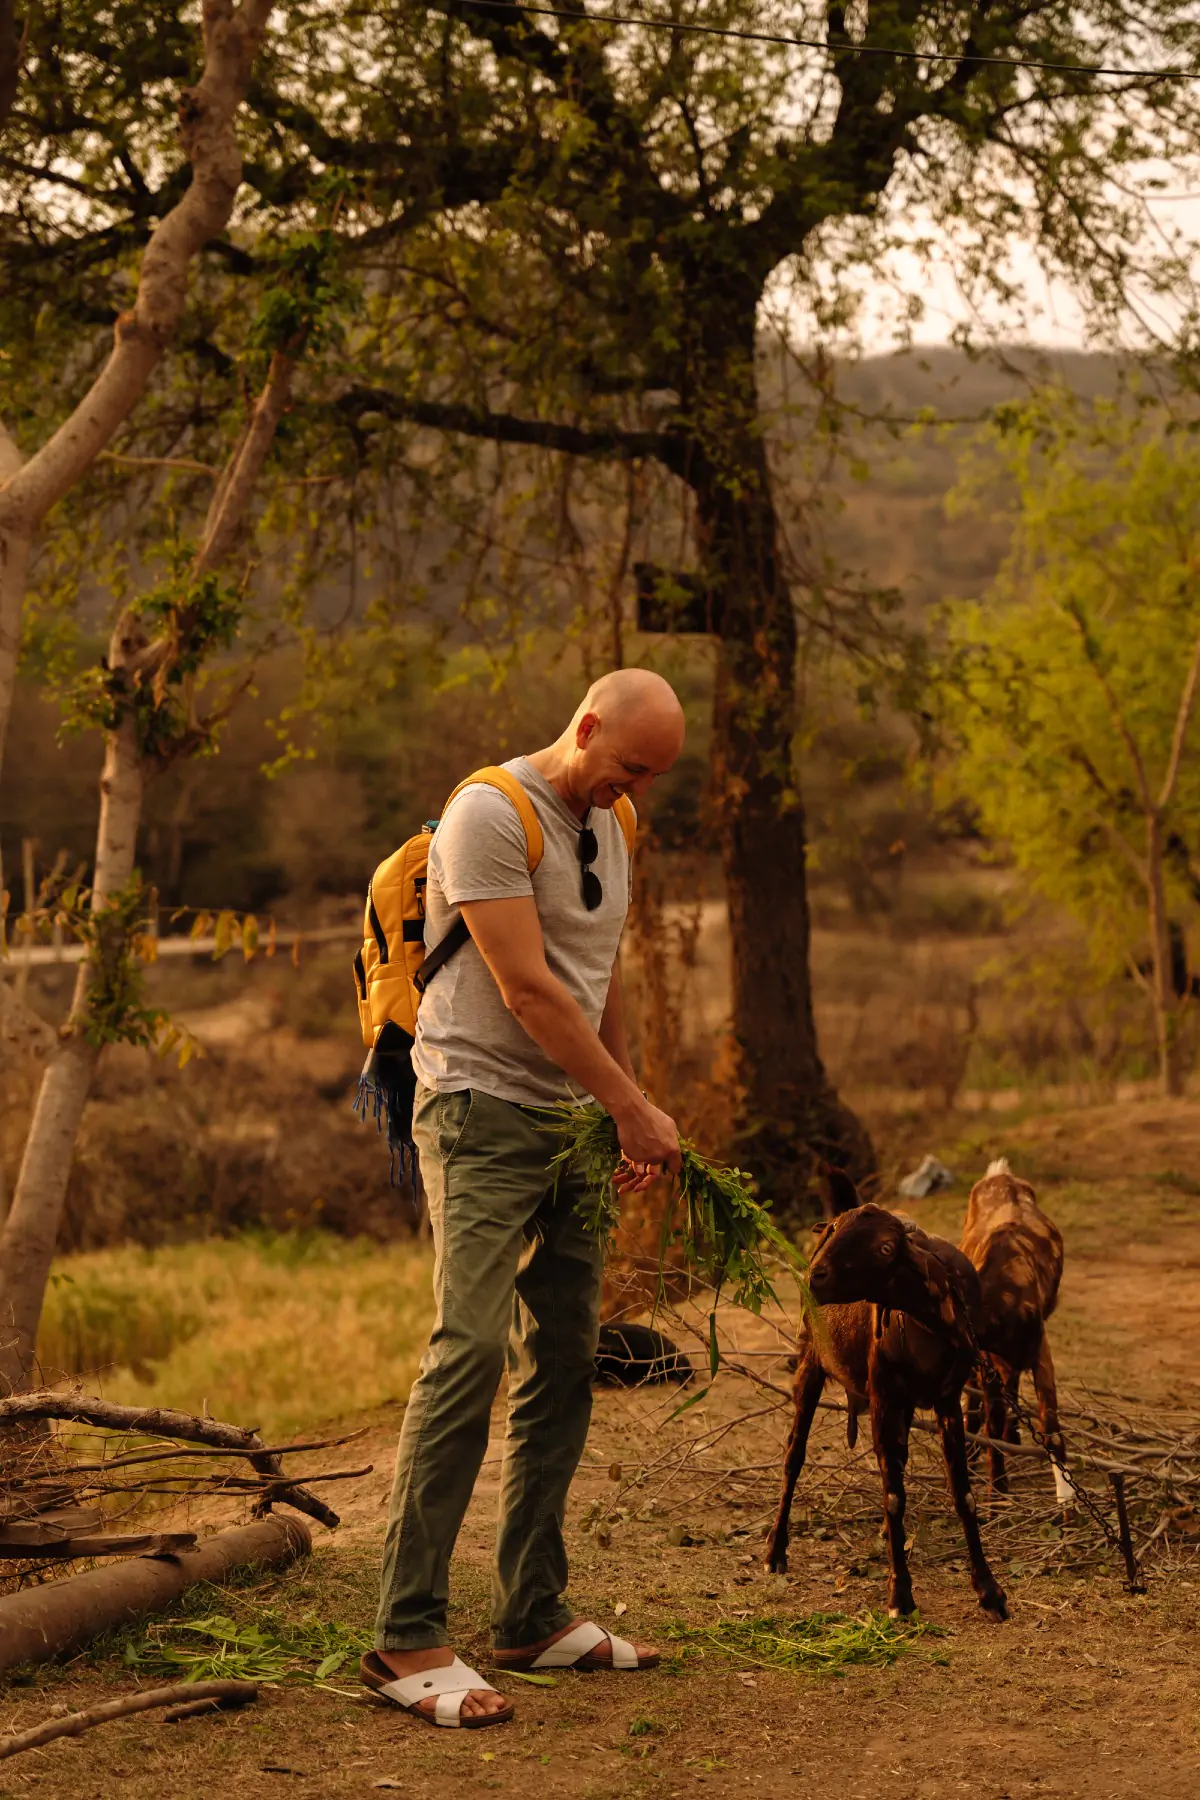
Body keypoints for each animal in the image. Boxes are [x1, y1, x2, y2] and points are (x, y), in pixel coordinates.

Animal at [766, 1195, 1007, 1620]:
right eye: (836, 1231)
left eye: (885, 1248)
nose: (815, 1276)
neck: (926, 1330)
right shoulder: (883, 1399)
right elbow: (893, 1497)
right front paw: (900, 1595)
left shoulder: (947, 1401)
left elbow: (963, 1495)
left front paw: (989, 1591)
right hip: (811, 1363)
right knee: (794, 1456)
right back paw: (776, 1551)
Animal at [964, 1152, 1072, 1504]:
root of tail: (1001, 1176)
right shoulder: (989, 1368)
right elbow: (993, 1434)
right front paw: (997, 1498)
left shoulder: (1040, 1357)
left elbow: (1053, 1433)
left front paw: (1068, 1503)